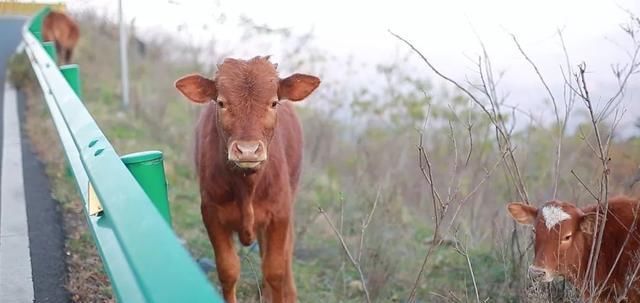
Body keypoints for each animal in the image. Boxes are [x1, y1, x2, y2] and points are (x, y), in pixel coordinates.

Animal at [172, 55, 320, 302]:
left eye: (273, 103)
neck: (247, 186)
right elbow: (228, 270)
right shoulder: (211, 213)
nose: (248, 150)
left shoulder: (280, 213)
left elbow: (275, 270)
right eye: (221, 103)